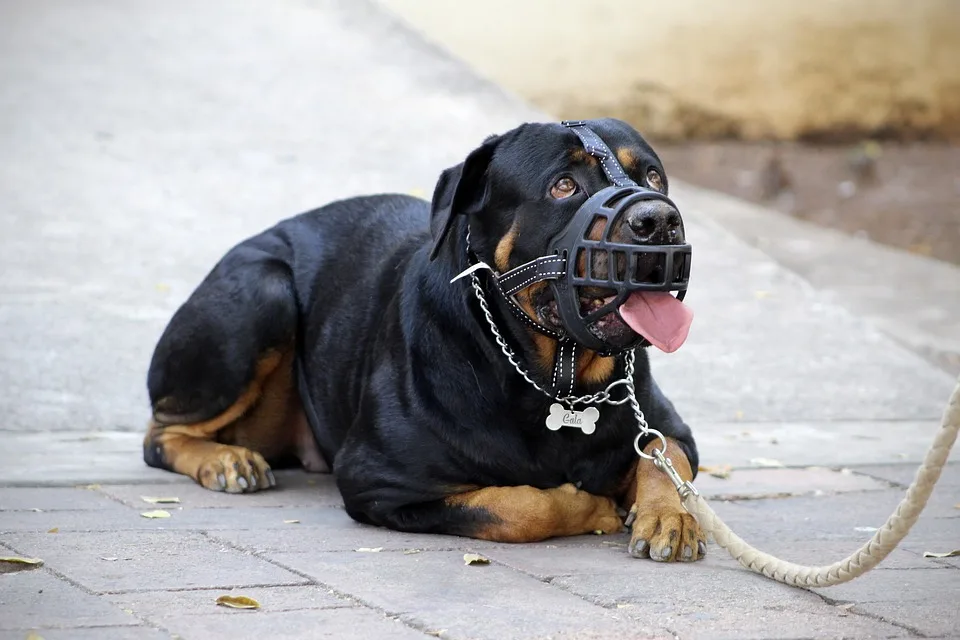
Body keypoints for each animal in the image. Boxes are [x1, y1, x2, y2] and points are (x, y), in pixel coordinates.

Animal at [146, 117, 708, 564]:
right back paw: (224, 460)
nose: (659, 219)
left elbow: (664, 458)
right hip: (264, 291)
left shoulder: (670, 430)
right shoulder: (380, 479)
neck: (554, 377)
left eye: (653, 176)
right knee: (160, 434)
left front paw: (669, 515)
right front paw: (592, 506)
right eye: (564, 185)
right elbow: (521, 505)